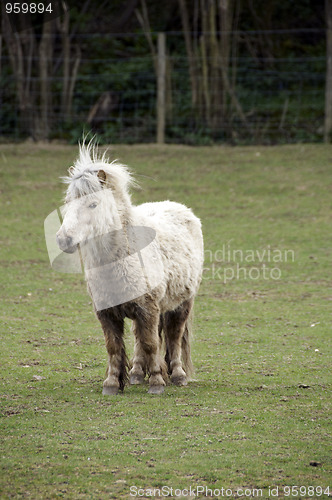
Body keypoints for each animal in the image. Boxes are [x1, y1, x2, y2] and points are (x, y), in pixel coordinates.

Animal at [55, 141, 204, 394]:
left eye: (93, 204)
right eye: (68, 204)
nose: (64, 240)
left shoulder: (149, 309)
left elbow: (152, 343)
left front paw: (156, 382)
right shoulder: (107, 313)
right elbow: (114, 346)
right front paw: (112, 384)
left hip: (182, 304)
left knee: (173, 336)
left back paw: (177, 375)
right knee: (138, 338)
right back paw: (136, 374)